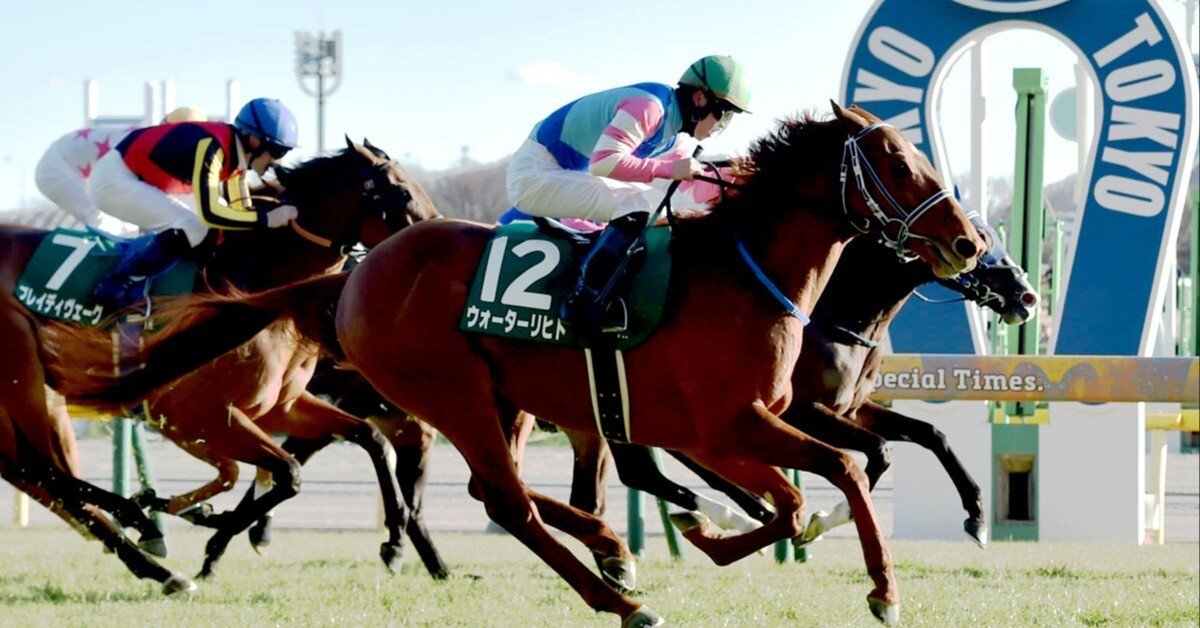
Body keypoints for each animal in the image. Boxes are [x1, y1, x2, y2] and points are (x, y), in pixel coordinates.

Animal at [0, 137, 427, 594]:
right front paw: (209, 529)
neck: (255, 286)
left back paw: (156, 562)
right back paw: (142, 526)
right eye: (401, 191)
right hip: (24, 381)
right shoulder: (191, 417)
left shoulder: (280, 406)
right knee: (38, 469)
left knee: (36, 474)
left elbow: (367, 439)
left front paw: (394, 543)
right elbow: (287, 471)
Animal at [49, 103, 986, 625]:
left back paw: (610, 552)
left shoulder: (734, 427)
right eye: (897, 162)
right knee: (503, 499)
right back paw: (620, 600)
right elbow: (835, 479)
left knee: (494, 491)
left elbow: (810, 492)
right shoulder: (723, 427)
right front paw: (879, 589)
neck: (741, 271)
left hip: (506, 400)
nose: (971, 243)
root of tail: (359, 270)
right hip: (451, 393)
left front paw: (707, 534)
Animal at [535, 220, 1039, 547]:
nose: (1026, 295)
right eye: (980, 246)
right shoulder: (801, 411)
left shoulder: (851, 408)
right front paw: (826, 518)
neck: (839, 316)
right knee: (642, 471)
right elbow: (878, 453)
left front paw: (977, 517)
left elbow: (932, 434)